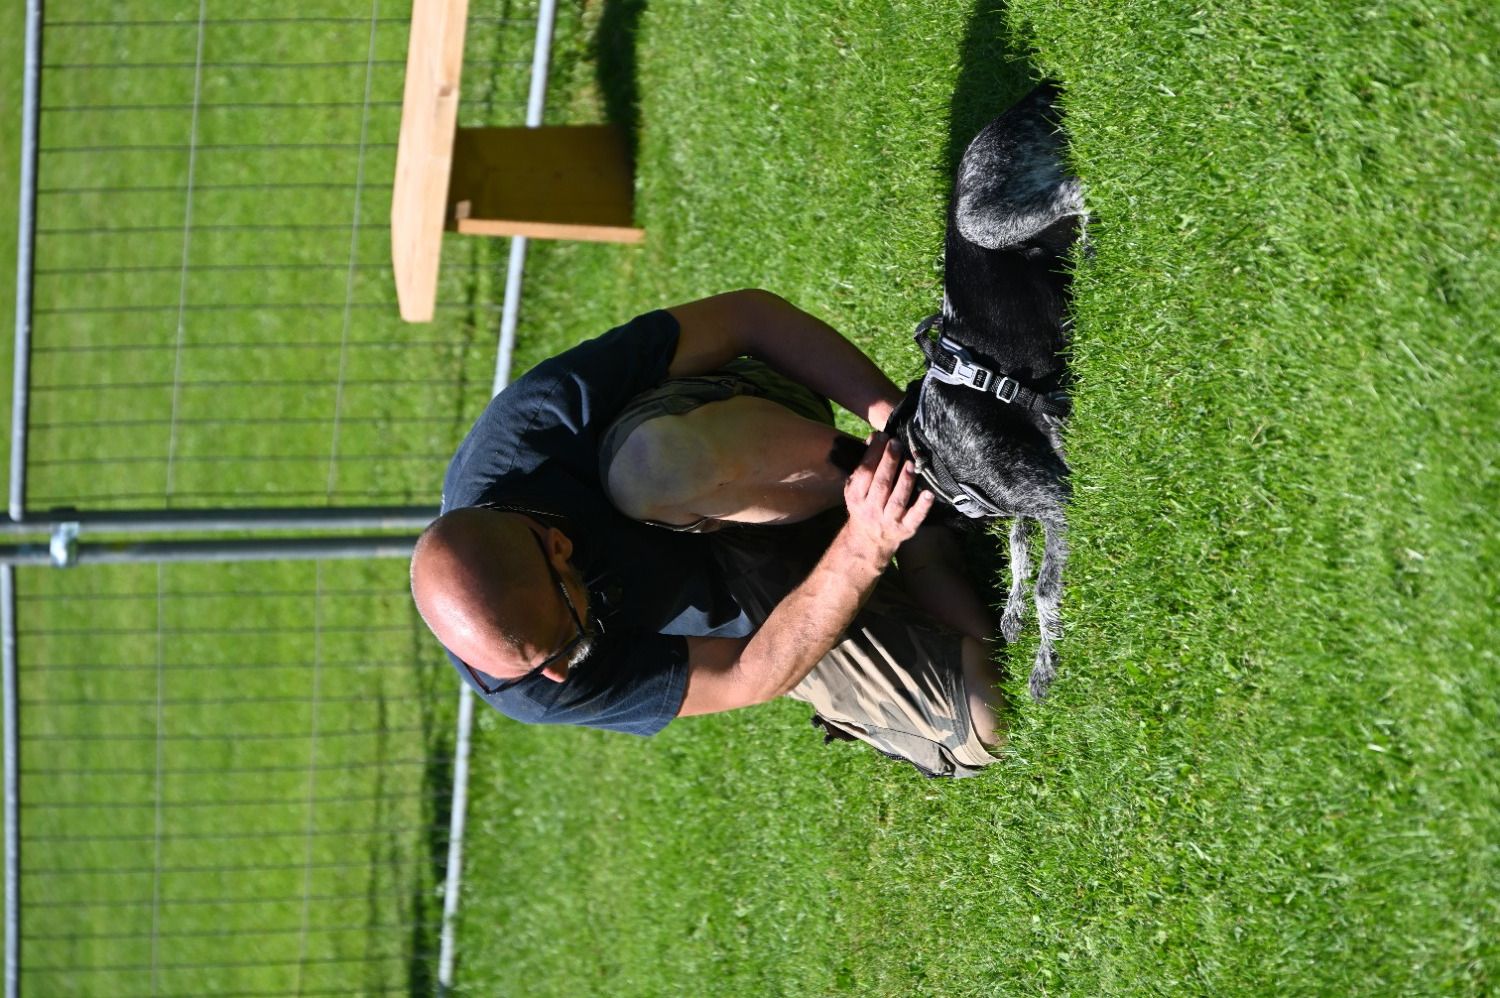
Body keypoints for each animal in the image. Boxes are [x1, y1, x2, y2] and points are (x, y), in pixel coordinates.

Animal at [888, 81, 1084, 699]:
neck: (938, 468)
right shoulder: (1036, 499)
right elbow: (1021, 553)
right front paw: (1014, 611)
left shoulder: (1054, 497)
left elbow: (1044, 585)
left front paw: (1045, 657)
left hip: (982, 218)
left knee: (1076, 189)